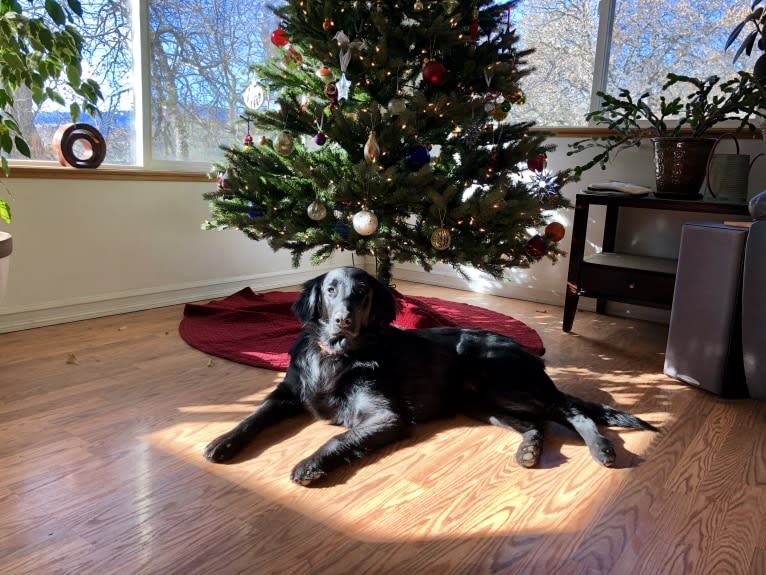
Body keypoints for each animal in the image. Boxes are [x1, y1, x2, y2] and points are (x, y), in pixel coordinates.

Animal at [206, 268, 660, 484]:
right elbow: (252, 417)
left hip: (504, 381)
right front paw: (222, 441)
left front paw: (310, 464)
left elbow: (338, 439)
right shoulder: (286, 394)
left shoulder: (386, 416)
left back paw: (601, 448)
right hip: (484, 403)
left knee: (571, 411)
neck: (336, 356)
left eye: (361, 293)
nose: (343, 320)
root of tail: (527, 354)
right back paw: (530, 449)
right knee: (539, 424)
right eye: (330, 290)